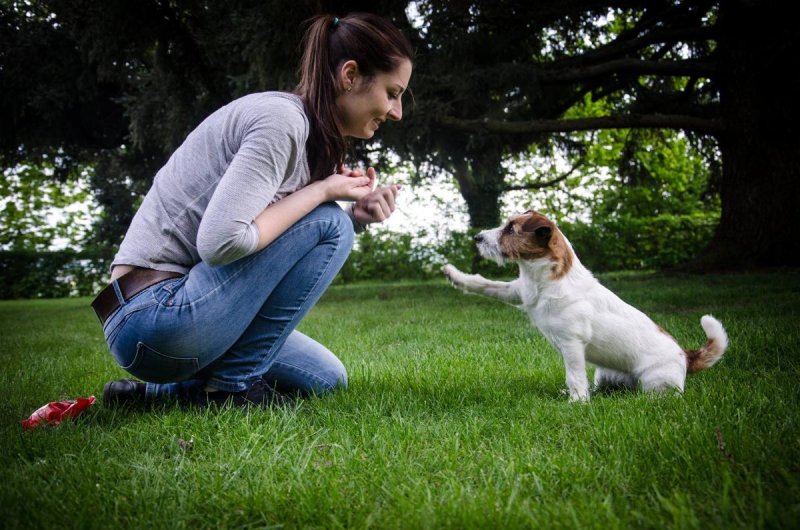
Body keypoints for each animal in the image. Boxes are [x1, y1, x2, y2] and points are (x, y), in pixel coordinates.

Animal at [440, 208, 728, 398]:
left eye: (511, 229)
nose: (477, 238)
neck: (545, 279)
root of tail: (686, 356)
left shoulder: (572, 344)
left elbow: (575, 376)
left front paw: (576, 403)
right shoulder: (518, 292)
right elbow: (485, 284)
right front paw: (454, 275)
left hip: (656, 381)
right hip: (605, 373)